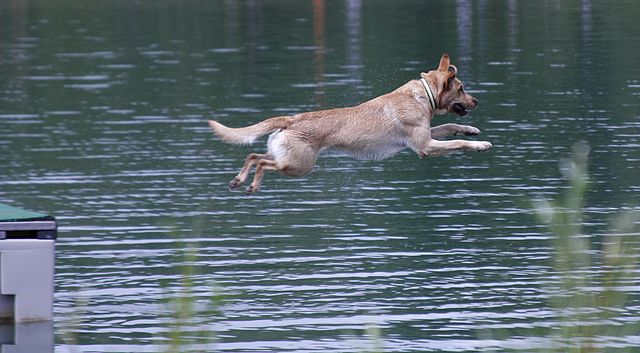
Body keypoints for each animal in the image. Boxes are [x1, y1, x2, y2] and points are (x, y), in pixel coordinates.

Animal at [208, 53, 492, 194]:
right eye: (461, 88)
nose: (477, 101)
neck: (423, 95)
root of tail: (291, 119)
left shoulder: (426, 137)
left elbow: (451, 128)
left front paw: (472, 130)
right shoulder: (425, 147)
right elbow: (458, 143)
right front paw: (480, 145)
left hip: (286, 155)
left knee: (253, 156)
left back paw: (238, 181)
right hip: (298, 165)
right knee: (263, 164)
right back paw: (252, 184)